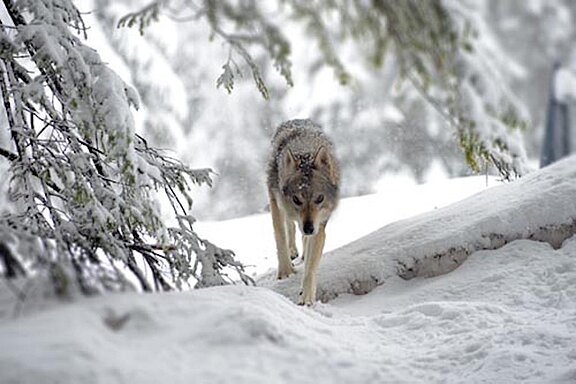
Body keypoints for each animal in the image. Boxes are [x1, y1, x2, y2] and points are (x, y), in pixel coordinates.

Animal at [266, 118, 340, 304]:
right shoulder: (276, 202)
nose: (308, 228)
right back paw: (293, 251)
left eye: (320, 198)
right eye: (296, 199)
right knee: (290, 226)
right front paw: (285, 273)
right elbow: (280, 237)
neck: (305, 151)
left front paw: (306, 298)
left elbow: (311, 268)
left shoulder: (320, 226)